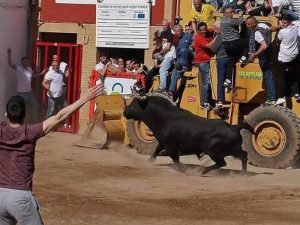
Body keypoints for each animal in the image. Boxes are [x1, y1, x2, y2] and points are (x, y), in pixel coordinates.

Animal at [123, 96, 254, 175]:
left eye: (134, 105)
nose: (124, 112)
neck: (164, 117)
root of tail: (234, 127)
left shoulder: (171, 146)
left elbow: (175, 159)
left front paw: (184, 170)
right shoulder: (163, 142)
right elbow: (157, 150)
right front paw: (150, 161)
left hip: (214, 151)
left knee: (222, 163)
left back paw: (203, 171)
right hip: (233, 150)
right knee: (244, 155)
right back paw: (243, 173)